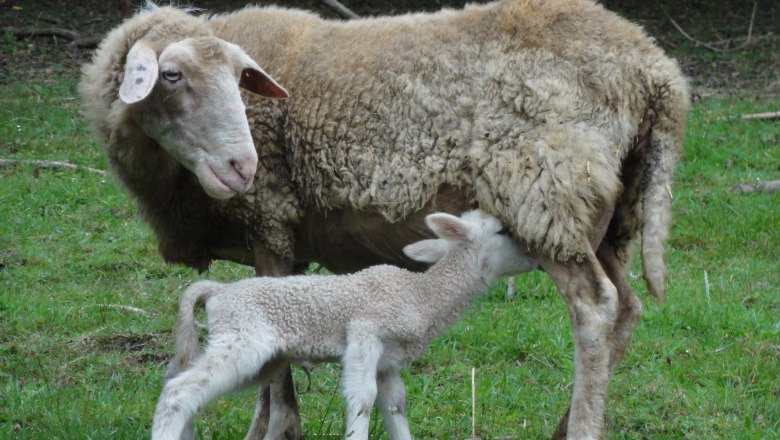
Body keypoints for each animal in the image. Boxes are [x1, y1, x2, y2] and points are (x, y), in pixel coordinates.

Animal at [152, 210, 536, 440]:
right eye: (503, 230)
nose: (535, 255)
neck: (421, 295)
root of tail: (218, 291)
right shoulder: (365, 333)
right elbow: (361, 398)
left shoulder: (389, 361)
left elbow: (395, 405)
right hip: (241, 338)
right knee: (177, 393)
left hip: (257, 357)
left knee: (183, 387)